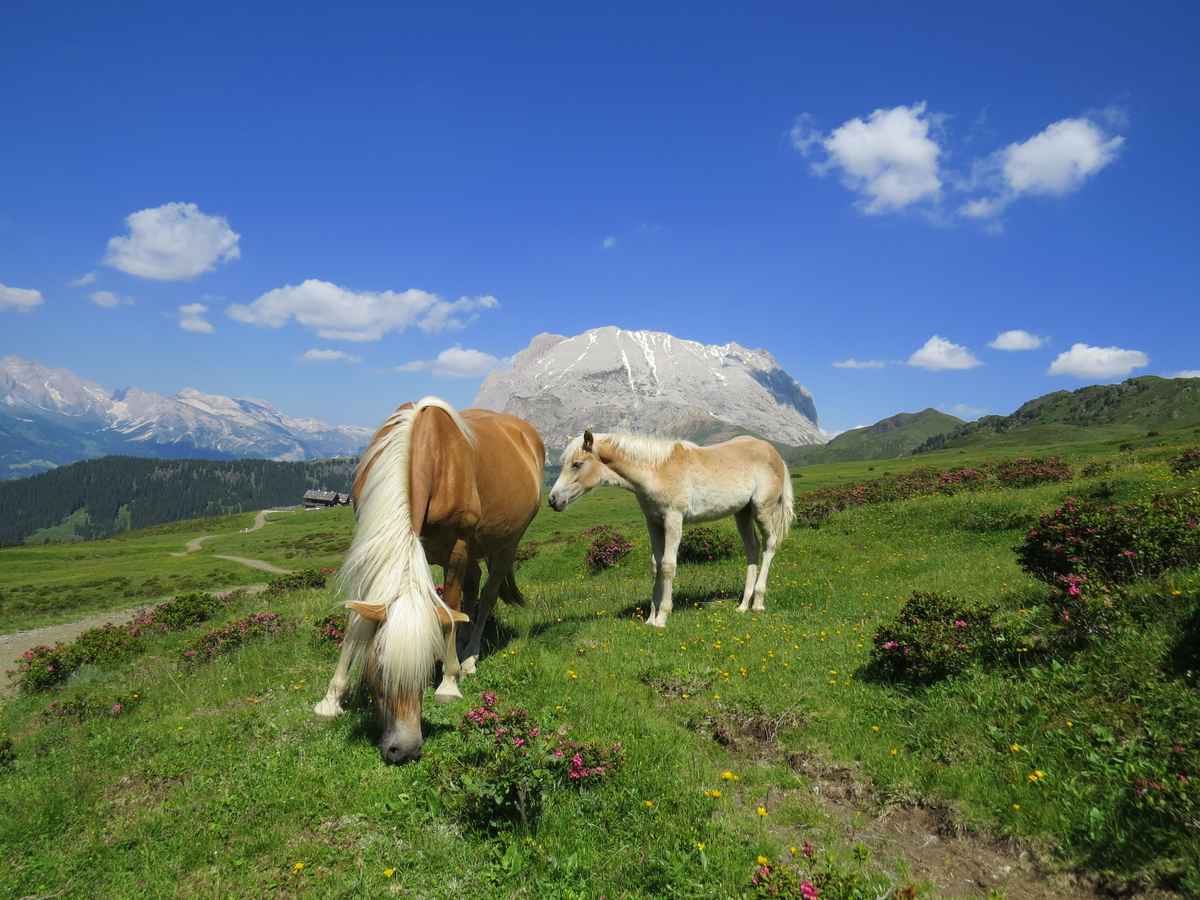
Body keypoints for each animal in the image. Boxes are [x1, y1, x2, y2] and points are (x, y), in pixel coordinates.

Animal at [313, 397, 544, 764]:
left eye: (423, 673)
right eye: (380, 669)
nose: (405, 750)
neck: (424, 450)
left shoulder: (458, 550)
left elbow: (447, 615)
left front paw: (448, 682)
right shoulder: (374, 546)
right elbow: (356, 622)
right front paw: (330, 700)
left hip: (506, 544)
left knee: (487, 594)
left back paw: (468, 657)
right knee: (472, 589)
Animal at [547, 430, 793, 627]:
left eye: (577, 464)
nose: (552, 500)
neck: (656, 471)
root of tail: (775, 453)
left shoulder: (674, 519)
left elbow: (667, 566)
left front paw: (662, 617)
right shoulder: (654, 522)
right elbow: (655, 565)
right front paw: (650, 618)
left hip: (762, 509)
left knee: (769, 545)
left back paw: (758, 603)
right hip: (742, 512)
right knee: (752, 548)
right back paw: (743, 605)